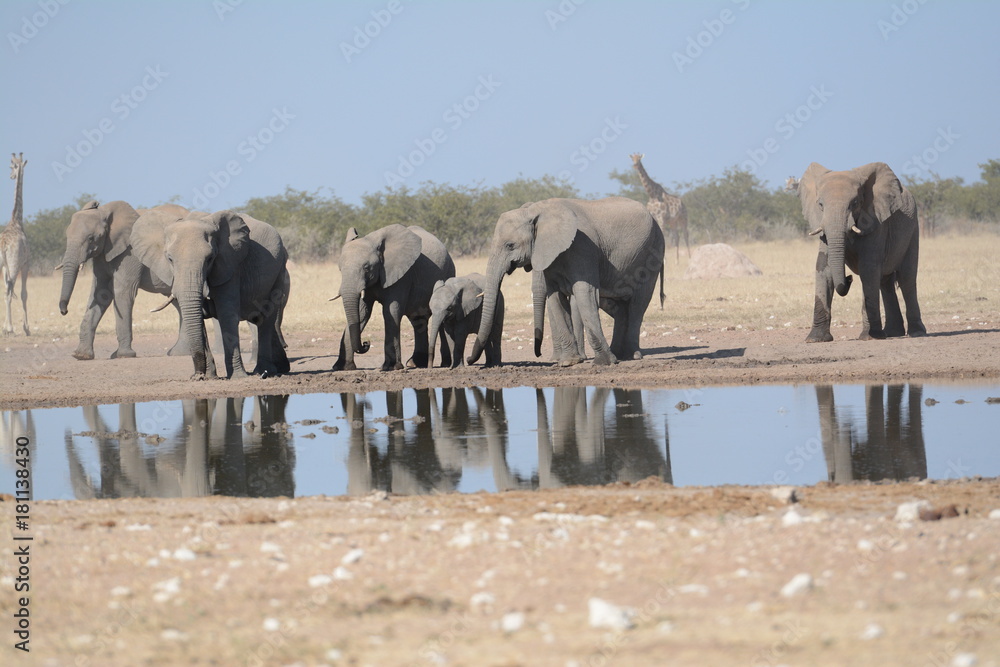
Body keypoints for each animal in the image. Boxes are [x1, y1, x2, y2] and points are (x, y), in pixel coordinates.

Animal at [57, 200, 190, 360]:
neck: (105, 212)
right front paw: (81, 355)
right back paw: (178, 352)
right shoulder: (103, 254)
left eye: (91, 238)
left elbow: (122, 292)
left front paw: (123, 355)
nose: (64, 311)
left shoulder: (130, 253)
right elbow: (100, 294)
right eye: (67, 235)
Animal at [131, 209, 290, 379]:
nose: (196, 375)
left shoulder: (230, 265)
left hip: (279, 272)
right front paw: (208, 377)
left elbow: (227, 315)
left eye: (210, 259)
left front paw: (237, 377)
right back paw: (280, 368)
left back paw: (265, 371)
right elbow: (198, 317)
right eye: (169, 259)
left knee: (266, 319)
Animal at [331, 224, 455, 372]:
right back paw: (416, 364)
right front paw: (341, 367)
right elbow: (362, 312)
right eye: (340, 269)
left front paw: (390, 367)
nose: (366, 343)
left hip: (448, 274)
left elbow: (391, 311)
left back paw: (445, 364)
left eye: (367, 268)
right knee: (418, 320)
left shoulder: (402, 276)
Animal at [468, 197, 664, 367]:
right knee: (622, 307)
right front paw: (568, 362)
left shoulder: (583, 247)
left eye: (510, 245)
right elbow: (555, 298)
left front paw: (603, 363)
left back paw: (631, 355)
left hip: (653, 252)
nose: (470, 360)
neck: (537, 211)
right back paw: (620, 354)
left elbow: (585, 293)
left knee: (638, 304)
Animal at [797, 162, 926, 342]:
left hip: (913, 229)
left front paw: (871, 336)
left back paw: (916, 333)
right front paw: (815, 339)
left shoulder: (876, 221)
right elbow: (824, 267)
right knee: (885, 282)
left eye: (855, 203)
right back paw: (893, 333)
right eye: (820, 205)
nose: (849, 278)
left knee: (907, 279)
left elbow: (868, 269)